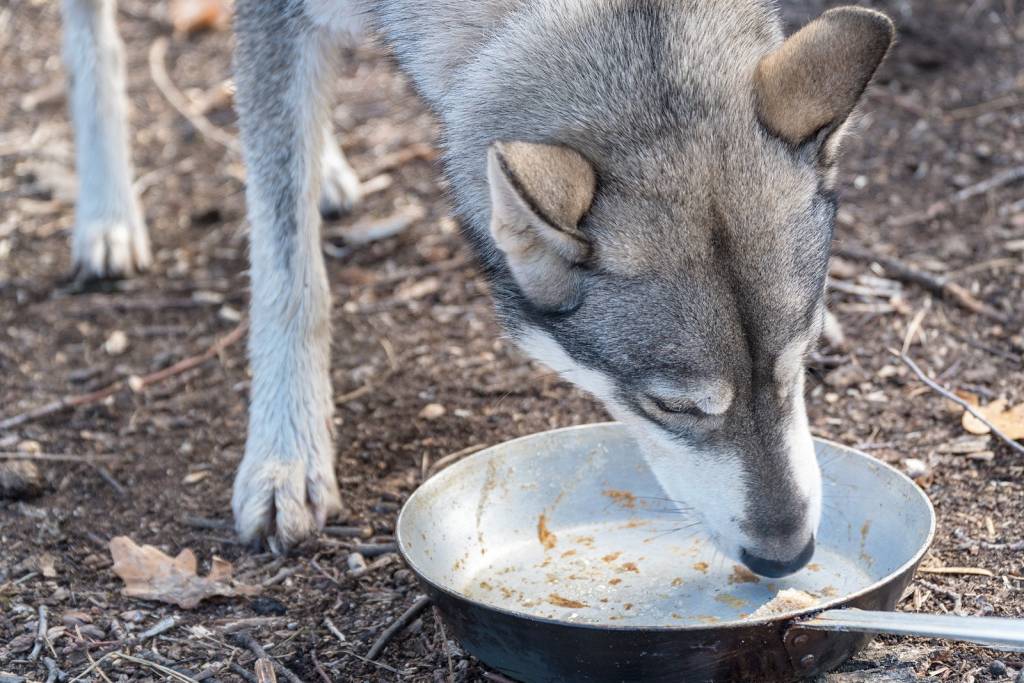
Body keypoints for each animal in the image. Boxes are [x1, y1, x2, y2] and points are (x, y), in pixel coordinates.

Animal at [61, 0, 894, 578]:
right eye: (675, 406)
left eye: (798, 366)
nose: (789, 555)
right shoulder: (273, 20)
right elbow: (289, 274)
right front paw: (285, 457)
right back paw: (107, 217)